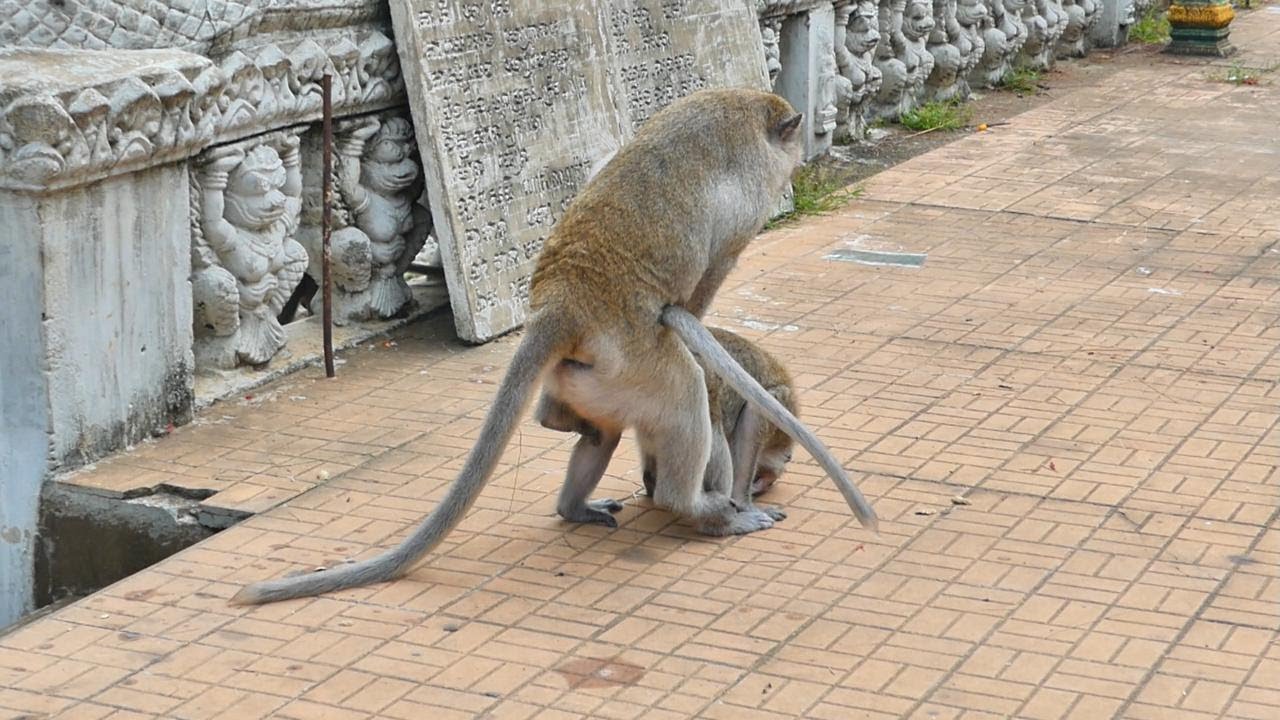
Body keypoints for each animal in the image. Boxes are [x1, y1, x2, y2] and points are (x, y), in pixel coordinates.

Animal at [231, 87, 877, 606]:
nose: (799, 164)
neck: (744, 109)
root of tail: (565, 302)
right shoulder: (745, 212)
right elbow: (700, 295)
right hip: (642, 363)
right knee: (686, 392)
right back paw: (699, 508)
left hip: (591, 375)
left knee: (599, 430)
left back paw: (568, 461)